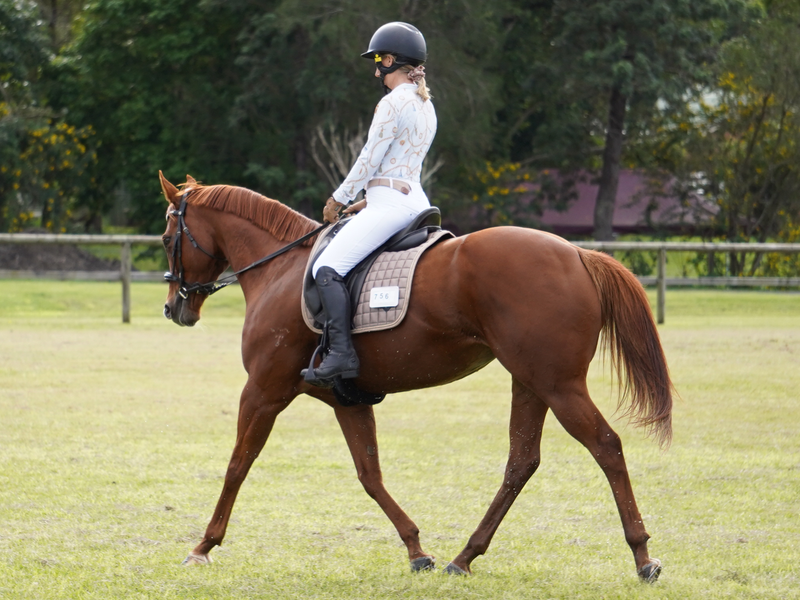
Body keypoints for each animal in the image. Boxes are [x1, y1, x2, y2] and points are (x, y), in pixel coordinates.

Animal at [158, 172, 673, 581]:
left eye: (167, 238)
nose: (174, 308)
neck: (280, 270)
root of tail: (578, 254)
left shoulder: (263, 390)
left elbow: (237, 464)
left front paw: (203, 545)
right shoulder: (347, 399)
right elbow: (370, 474)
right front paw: (416, 549)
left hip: (558, 385)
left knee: (606, 446)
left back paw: (642, 556)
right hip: (530, 382)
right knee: (521, 461)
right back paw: (464, 557)